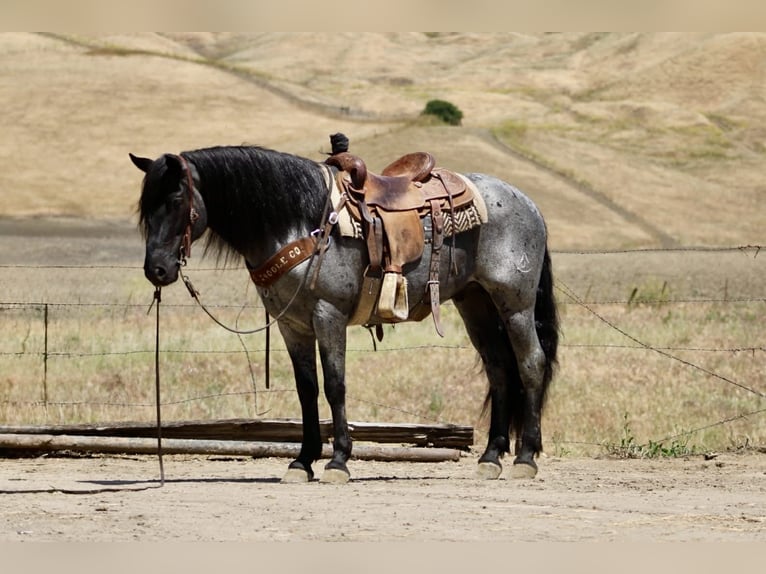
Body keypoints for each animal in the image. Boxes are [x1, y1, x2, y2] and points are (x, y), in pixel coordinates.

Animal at [130, 143, 559, 483]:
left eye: (175, 201)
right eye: (145, 206)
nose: (156, 270)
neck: (299, 221)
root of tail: (529, 204)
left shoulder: (328, 315)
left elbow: (335, 385)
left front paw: (338, 461)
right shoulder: (292, 325)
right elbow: (307, 390)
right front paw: (302, 462)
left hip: (515, 303)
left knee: (531, 364)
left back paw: (525, 458)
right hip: (475, 302)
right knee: (499, 369)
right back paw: (491, 458)